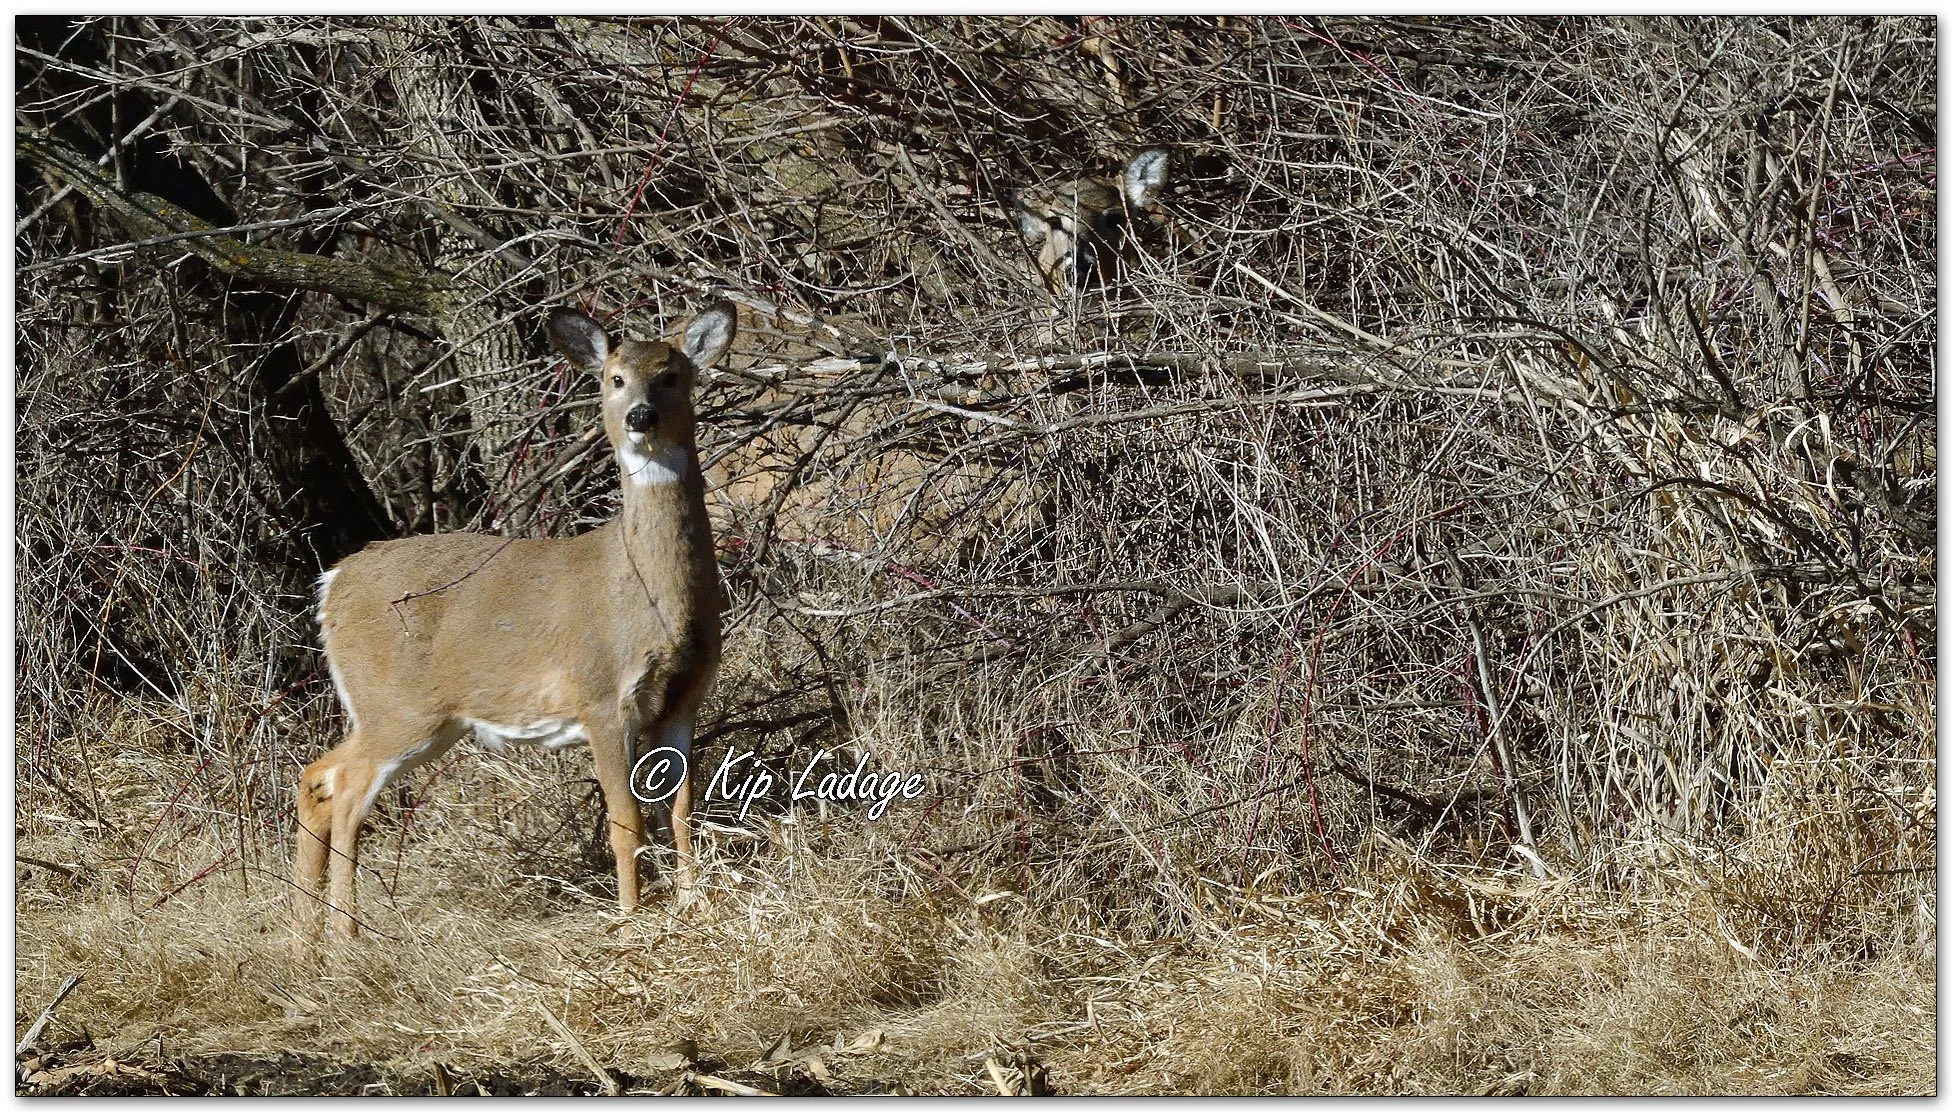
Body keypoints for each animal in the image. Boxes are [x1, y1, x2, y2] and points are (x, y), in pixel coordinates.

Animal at [293, 301, 737, 943]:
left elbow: (681, 812)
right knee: (346, 788)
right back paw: (346, 936)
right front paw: (631, 923)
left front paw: (692, 907)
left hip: (420, 717)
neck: (648, 597)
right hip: (398, 706)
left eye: (672, 375)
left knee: (318, 777)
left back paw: (305, 936)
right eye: (615, 378)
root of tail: (331, 586)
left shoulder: (684, 699)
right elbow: (625, 819)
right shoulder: (601, 695)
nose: (641, 416)